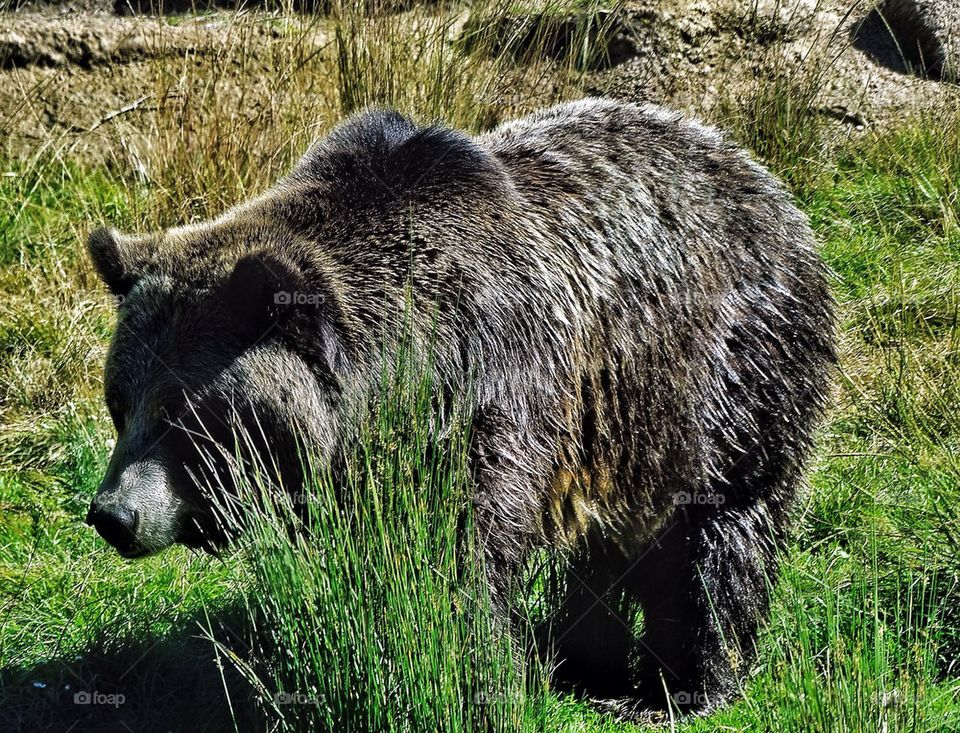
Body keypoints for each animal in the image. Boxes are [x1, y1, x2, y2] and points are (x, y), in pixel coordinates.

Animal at [86, 97, 836, 716]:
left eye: (186, 411)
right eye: (120, 402)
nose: (114, 514)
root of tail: (764, 178)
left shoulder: (499, 393)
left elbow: (464, 552)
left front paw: (477, 670)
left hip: (725, 378)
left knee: (721, 536)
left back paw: (684, 687)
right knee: (604, 554)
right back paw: (584, 664)